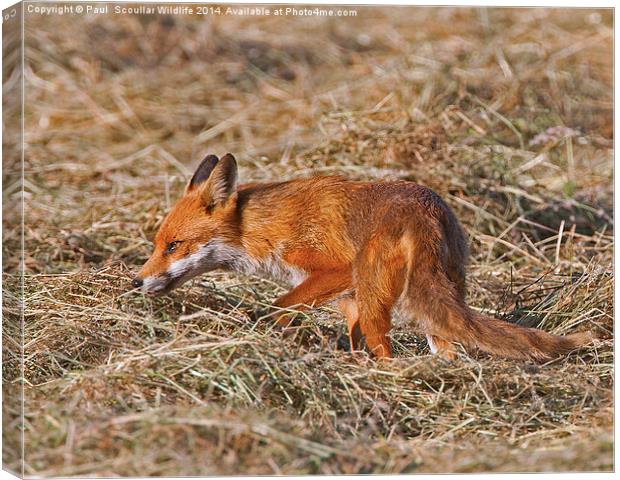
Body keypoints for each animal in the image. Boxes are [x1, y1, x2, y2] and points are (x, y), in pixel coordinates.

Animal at [133, 154, 592, 360]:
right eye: (157, 244)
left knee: (387, 350)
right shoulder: (346, 299)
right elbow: (348, 336)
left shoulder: (335, 269)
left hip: (376, 295)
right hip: (433, 298)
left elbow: (277, 306)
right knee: (445, 345)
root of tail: (425, 208)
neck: (266, 227)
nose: (136, 281)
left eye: (173, 246)